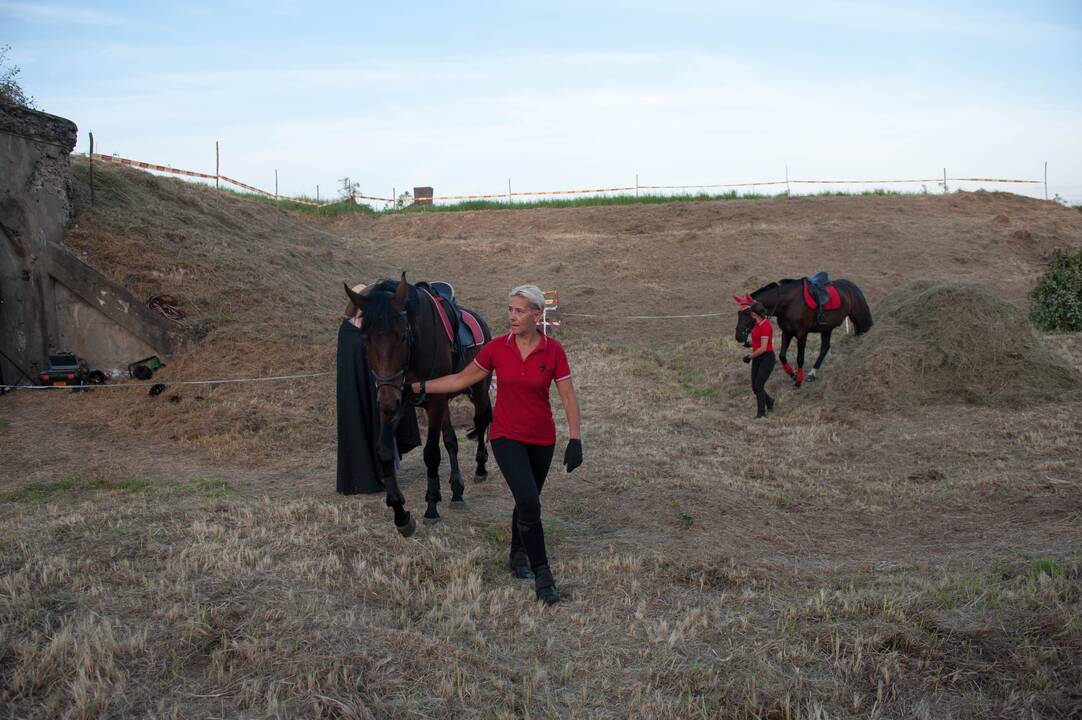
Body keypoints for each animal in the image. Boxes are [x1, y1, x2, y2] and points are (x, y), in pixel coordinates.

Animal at [344, 272, 493, 537]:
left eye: (403, 335)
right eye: (365, 339)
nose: (387, 401)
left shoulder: (433, 403)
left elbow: (431, 453)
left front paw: (431, 506)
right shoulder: (396, 399)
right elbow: (384, 450)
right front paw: (400, 513)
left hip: (478, 390)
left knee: (482, 419)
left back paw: (480, 468)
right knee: (452, 441)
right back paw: (457, 490)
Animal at [731, 276, 874, 387]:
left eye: (747, 313)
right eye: (738, 313)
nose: (738, 336)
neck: (787, 303)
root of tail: (852, 286)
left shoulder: (802, 334)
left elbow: (800, 358)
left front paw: (798, 380)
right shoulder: (786, 332)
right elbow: (782, 356)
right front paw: (793, 375)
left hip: (858, 318)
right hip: (827, 328)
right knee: (825, 348)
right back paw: (812, 373)